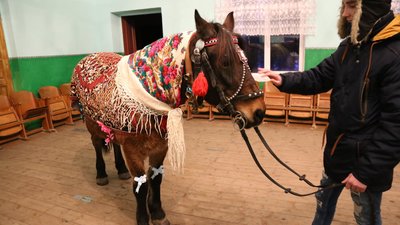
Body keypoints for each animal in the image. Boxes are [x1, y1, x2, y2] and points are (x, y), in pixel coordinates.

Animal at [71, 9, 266, 225]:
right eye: (225, 62)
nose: (258, 111)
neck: (147, 94)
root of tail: (88, 58)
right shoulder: (133, 151)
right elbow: (140, 187)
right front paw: (143, 218)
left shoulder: (160, 147)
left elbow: (156, 180)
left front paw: (157, 213)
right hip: (92, 124)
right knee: (97, 145)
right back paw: (101, 173)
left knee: (112, 141)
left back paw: (121, 169)